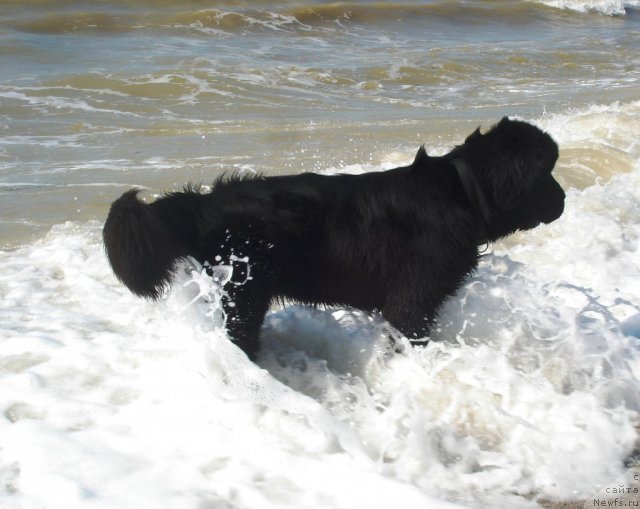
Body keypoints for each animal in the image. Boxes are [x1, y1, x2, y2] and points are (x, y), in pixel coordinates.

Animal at [102, 117, 564, 360]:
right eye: (547, 172)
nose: (564, 198)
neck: (462, 192)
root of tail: (201, 202)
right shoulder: (411, 302)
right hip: (243, 291)